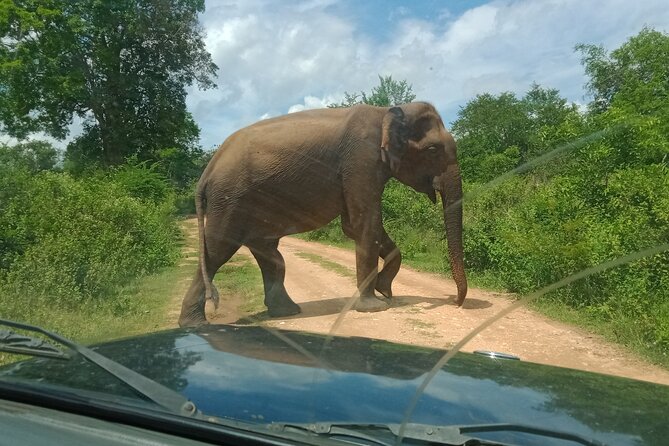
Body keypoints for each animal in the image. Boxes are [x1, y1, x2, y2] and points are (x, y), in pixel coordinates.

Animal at [179, 103, 470, 328]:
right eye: (433, 150)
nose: (456, 302)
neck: (388, 111)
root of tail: (207, 171)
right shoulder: (361, 161)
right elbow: (364, 224)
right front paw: (375, 306)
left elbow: (353, 226)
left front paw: (385, 291)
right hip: (230, 200)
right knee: (218, 249)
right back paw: (194, 325)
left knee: (271, 256)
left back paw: (286, 312)